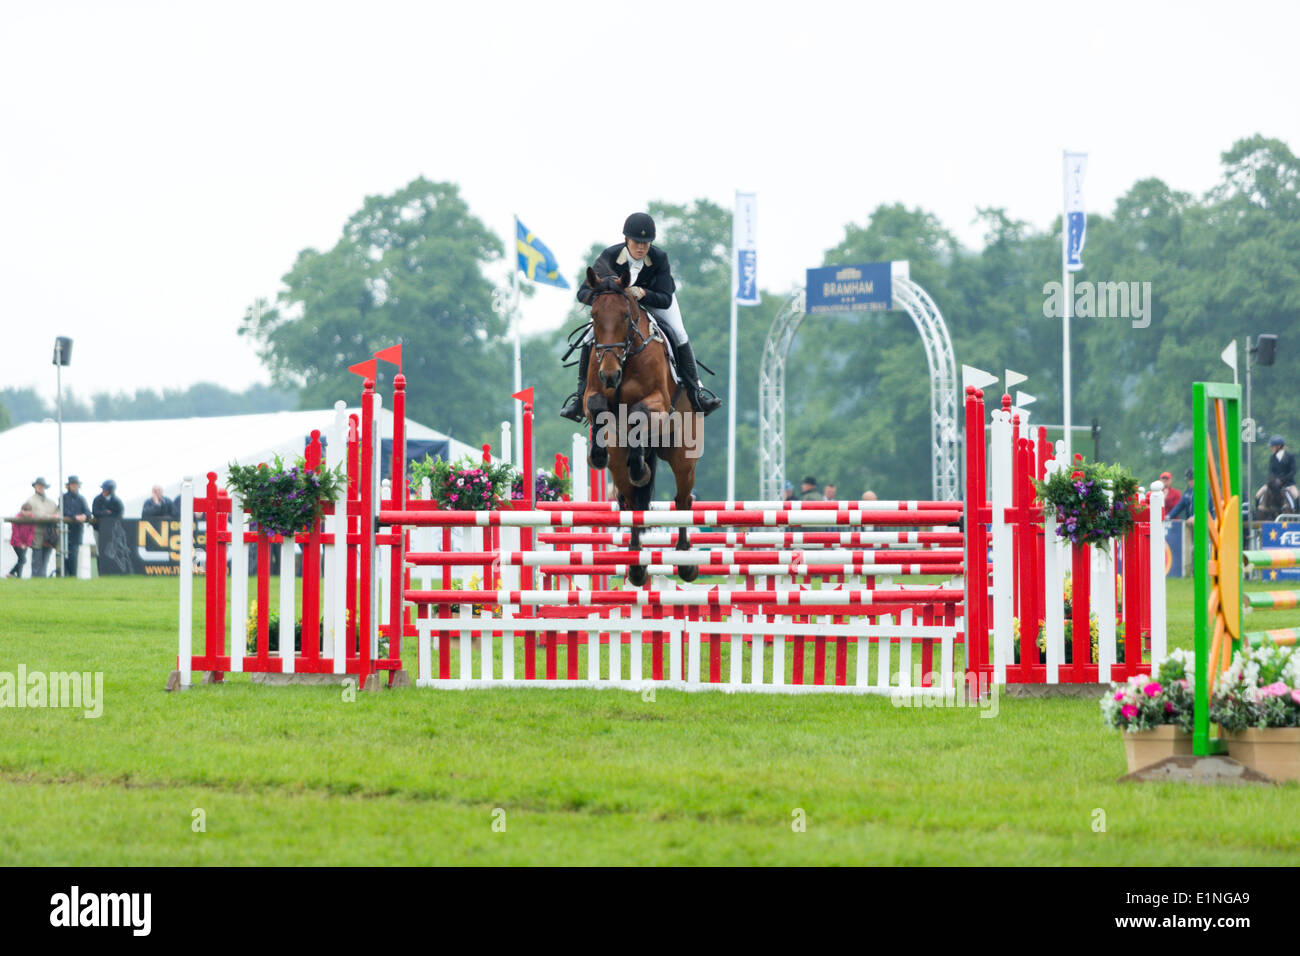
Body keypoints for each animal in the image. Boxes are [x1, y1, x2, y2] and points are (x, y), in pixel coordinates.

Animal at [579, 265, 702, 587]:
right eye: (594, 314)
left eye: (625, 315)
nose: (610, 375)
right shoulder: (591, 395)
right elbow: (598, 408)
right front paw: (597, 455)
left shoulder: (657, 401)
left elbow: (637, 412)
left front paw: (640, 466)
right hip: (619, 467)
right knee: (633, 502)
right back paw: (636, 566)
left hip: (683, 456)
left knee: (683, 500)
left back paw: (685, 561)